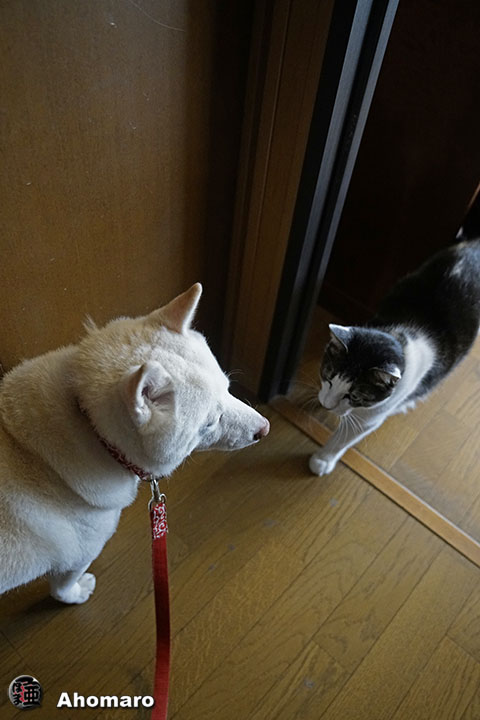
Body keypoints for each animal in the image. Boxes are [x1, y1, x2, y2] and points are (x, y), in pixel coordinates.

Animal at [0, 283, 269, 603]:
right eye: (210, 422)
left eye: (228, 389)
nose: (265, 429)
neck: (88, 425)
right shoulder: (78, 556)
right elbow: (62, 588)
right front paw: (77, 594)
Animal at [309, 238, 480, 476]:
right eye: (328, 376)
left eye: (355, 396)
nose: (326, 405)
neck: (399, 336)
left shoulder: (369, 419)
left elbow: (343, 439)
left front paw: (323, 460)